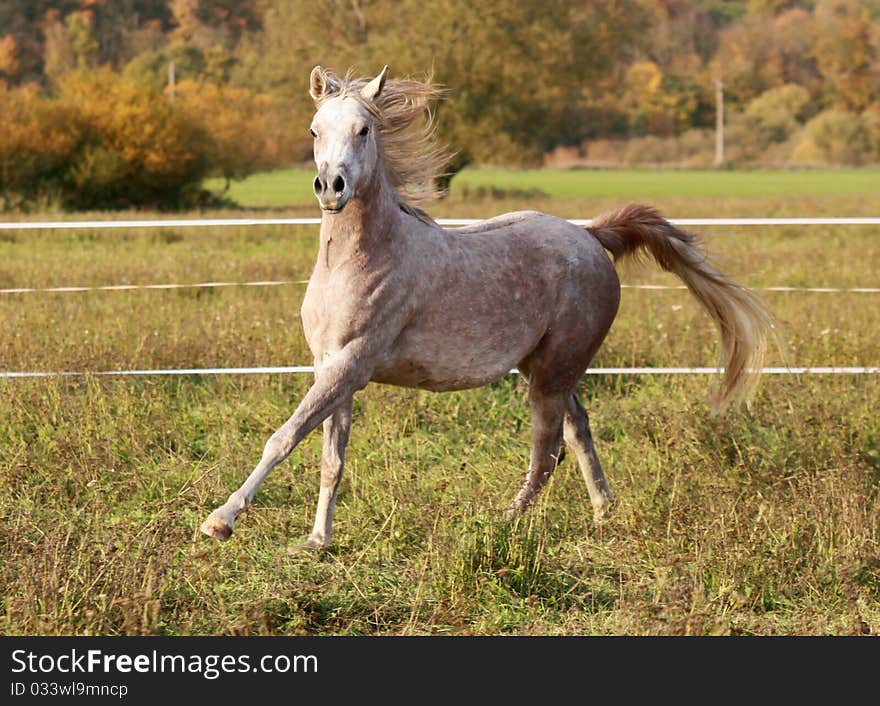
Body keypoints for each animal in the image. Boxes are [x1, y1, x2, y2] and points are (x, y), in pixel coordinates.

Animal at [199, 66, 768, 548]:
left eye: (363, 130)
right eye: (315, 130)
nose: (331, 187)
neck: (359, 259)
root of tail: (590, 236)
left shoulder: (352, 363)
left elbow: (284, 437)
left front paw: (221, 521)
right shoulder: (330, 365)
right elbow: (329, 458)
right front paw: (318, 541)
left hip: (553, 372)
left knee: (548, 450)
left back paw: (503, 523)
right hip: (545, 368)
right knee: (578, 430)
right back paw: (604, 512)